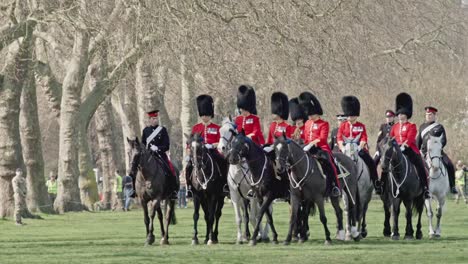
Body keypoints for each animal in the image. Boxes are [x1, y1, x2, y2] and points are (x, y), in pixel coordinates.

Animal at [218, 116, 270, 244]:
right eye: (220, 130)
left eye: (231, 130)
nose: (221, 148)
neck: (239, 169)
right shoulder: (235, 196)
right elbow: (239, 218)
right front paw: (240, 238)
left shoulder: (253, 196)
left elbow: (253, 217)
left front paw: (257, 235)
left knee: (267, 212)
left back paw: (265, 234)